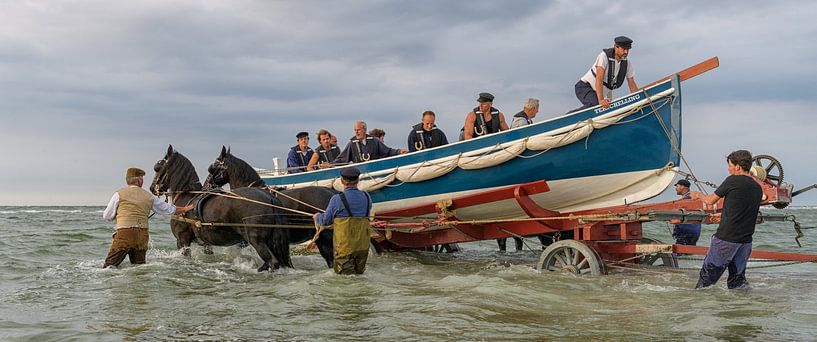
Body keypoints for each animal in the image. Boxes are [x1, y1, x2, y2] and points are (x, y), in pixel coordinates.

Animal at [151, 146, 292, 272]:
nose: (152, 188)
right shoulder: (206, 244)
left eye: (158, 167)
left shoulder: (182, 240)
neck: (186, 197)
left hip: (256, 240)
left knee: (271, 262)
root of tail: (269, 197)